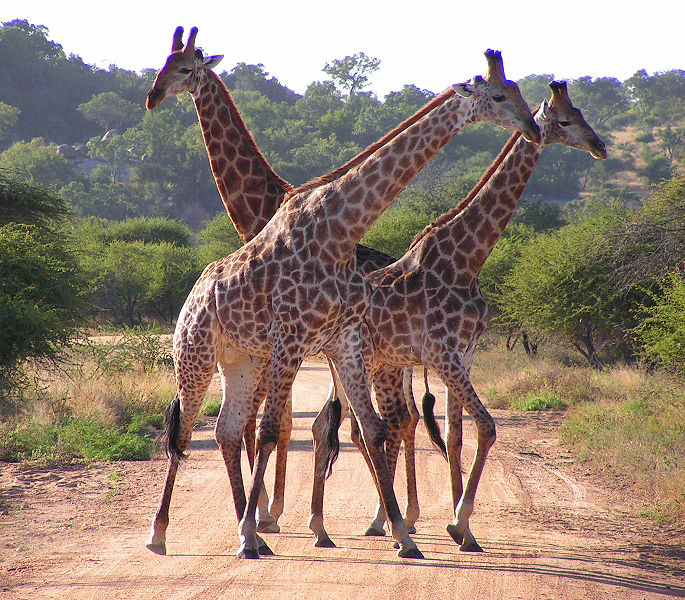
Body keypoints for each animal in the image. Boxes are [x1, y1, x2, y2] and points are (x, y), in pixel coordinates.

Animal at [144, 31, 540, 556]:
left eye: (185, 67)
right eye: (498, 96)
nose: (532, 127)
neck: (338, 229)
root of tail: (189, 299)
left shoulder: (341, 342)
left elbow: (358, 428)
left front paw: (393, 533)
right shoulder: (292, 339)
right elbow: (278, 427)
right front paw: (268, 524)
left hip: (250, 361)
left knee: (235, 428)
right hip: (196, 357)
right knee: (185, 431)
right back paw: (160, 534)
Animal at [310, 78, 604, 548]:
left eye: (580, 113)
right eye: (563, 121)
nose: (600, 146)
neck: (466, 262)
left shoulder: (463, 355)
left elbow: (455, 434)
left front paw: (464, 530)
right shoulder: (442, 354)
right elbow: (486, 427)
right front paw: (457, 522)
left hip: (362, 366)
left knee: (348, 426)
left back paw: (337, 525)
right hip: (366, 365)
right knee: (351, 428)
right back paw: (348, 524)